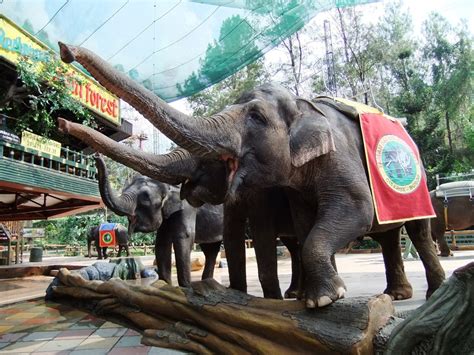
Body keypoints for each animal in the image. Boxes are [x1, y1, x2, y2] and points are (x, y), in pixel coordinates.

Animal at [56, 43, 444, 308]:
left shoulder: (337, 156)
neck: (303, 105)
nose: (64, 50)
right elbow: (300, 226)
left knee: (417, 231)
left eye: (256, 117)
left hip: (420, 183)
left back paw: (431, 294)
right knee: (383, 237)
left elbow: (353, 211)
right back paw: (392, 295)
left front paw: (320, 301)